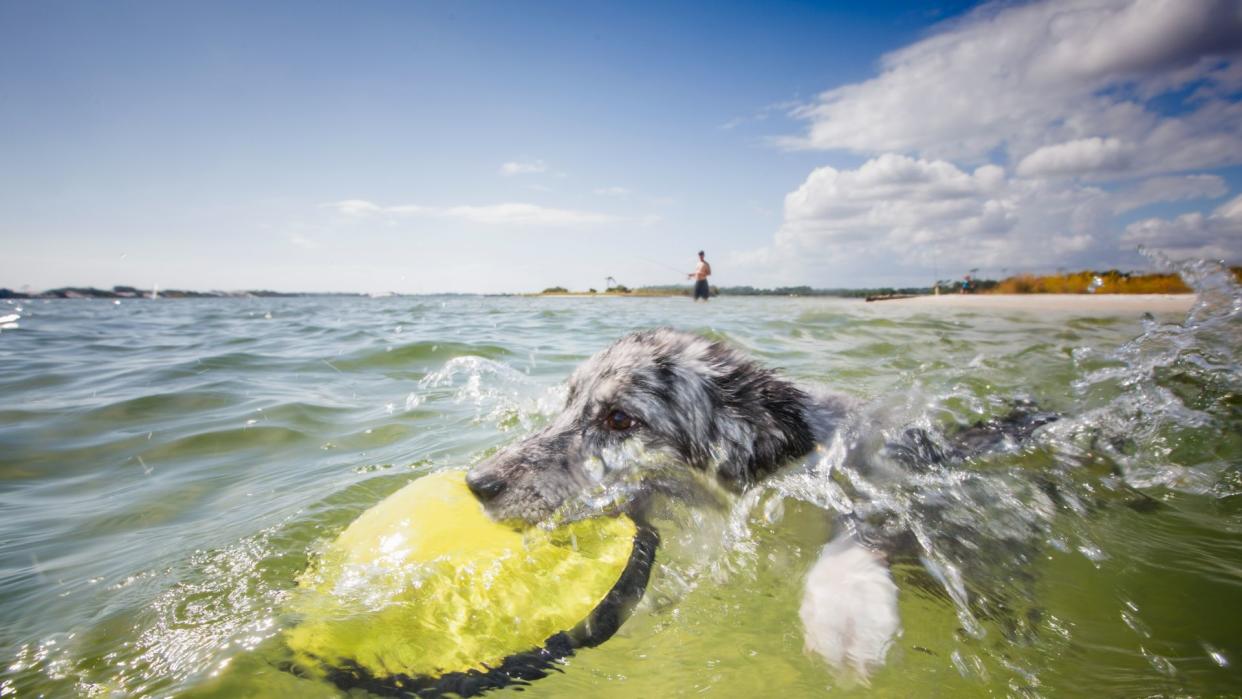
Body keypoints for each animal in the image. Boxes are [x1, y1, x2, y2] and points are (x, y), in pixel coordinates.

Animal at [466, 330, 1058, 685]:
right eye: (567, 403)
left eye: (619, 419)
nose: (478, 483)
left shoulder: (901, 492)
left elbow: (866, 526)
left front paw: (845, 607)